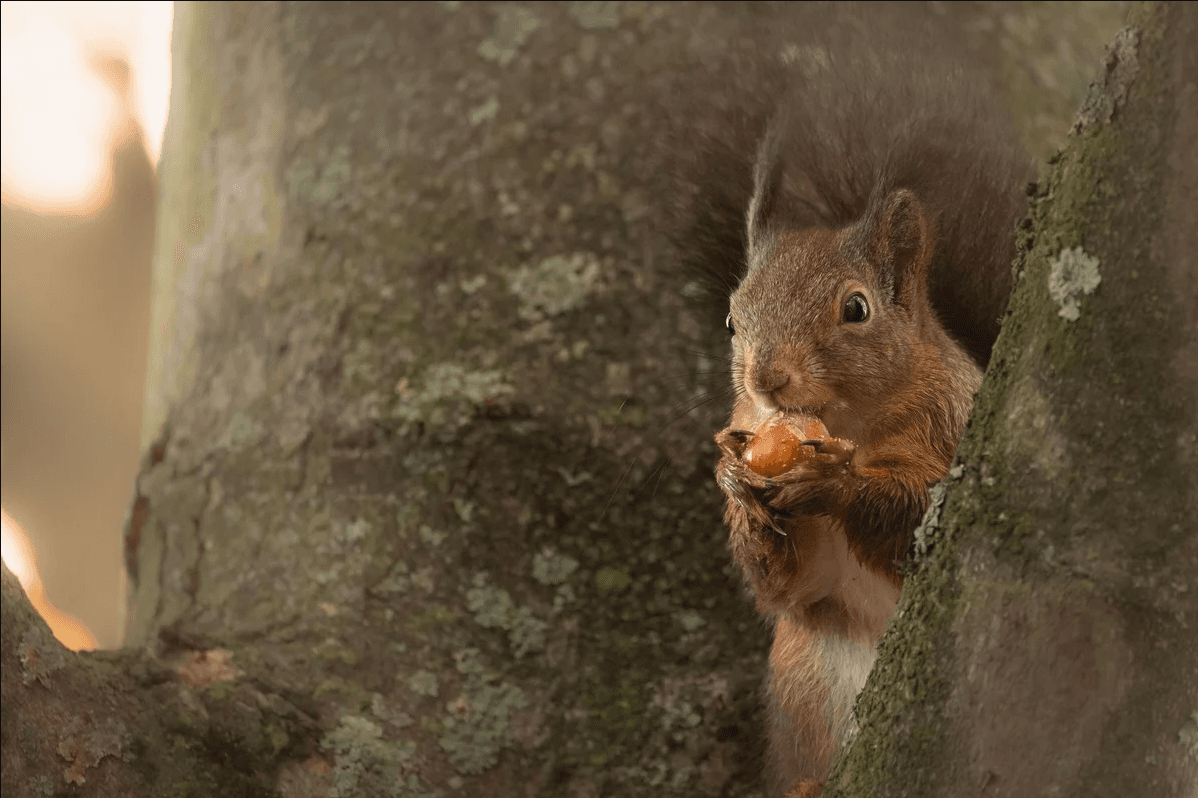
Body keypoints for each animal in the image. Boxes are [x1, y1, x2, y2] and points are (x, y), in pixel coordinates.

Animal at [670, 12, 1035, 795]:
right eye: (731, 321)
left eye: (857, 309)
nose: (768, 380)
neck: (847, 424)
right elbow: (789, 589)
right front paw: (735, 485)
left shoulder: (954, 430)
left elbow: (915, 522)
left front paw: (833, 483)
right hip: (806, 677)